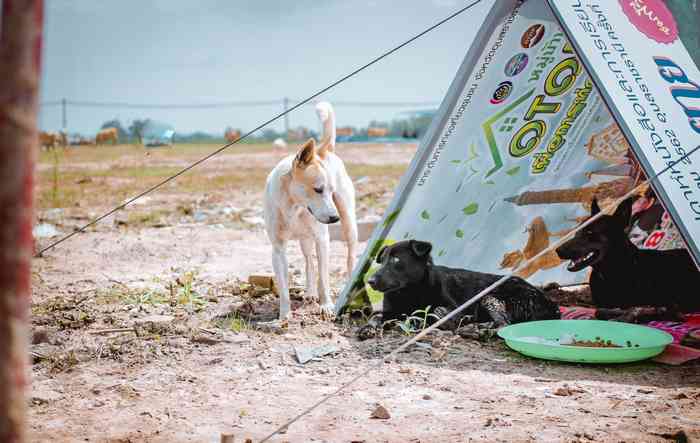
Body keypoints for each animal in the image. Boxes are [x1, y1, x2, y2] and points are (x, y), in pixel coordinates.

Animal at [264, 102, 358, 320]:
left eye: (330, 190)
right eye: (318, 189)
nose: (334, 218)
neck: (294, 206)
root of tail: (323, 149)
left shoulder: (323, 239)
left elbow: (324, 278)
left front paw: (326, 306)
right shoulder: (278, 248)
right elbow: (284, 286)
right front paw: (284, 315)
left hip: (349, 223)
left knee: (350, 256)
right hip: (304, 239)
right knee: (309, 261)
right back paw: (309, 293)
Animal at [358, 239, 560, 340]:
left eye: (396, 260)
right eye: (382, 260)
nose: (370, 281)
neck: (409, 293)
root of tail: (552, 306)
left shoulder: (453, 308)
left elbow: (436, 313)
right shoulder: (390, 311)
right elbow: (376, 316)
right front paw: (367, 328)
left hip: (490, 297)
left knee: (504, 324)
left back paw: (476, 330)